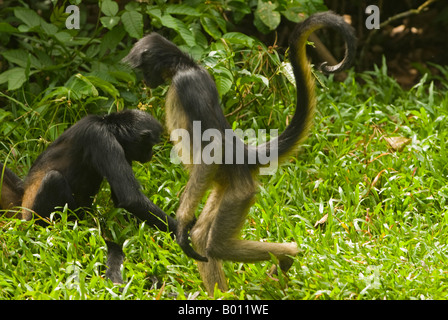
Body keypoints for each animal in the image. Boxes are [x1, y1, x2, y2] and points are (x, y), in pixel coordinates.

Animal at [124, 11, 358, 296]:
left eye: (143, 69)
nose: (144, 82)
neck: (186, 66)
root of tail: (243, 155)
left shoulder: (187, 85)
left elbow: (213, 146)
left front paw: (181, 223)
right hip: (225, 184)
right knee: (202, 235)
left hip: (240, 191)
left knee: (216, 246)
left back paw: (289, 253)